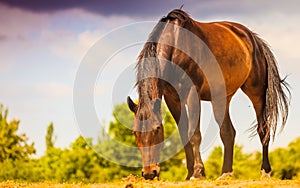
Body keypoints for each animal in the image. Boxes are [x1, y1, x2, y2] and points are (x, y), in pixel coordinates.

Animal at [127, 9, 290, 181]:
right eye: (134, 132)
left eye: (157, 129)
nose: (149, 173)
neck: (176, 45)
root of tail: (254, 39)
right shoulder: (173, 99)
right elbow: (184, 134)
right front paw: (189, 174)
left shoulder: (192, 94)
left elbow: (194, 134)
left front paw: (198, 173)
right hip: (221, 98)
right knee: (228, 132)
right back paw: (225, 173)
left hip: (256, 92)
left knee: (263, 129)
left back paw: (265, 171)